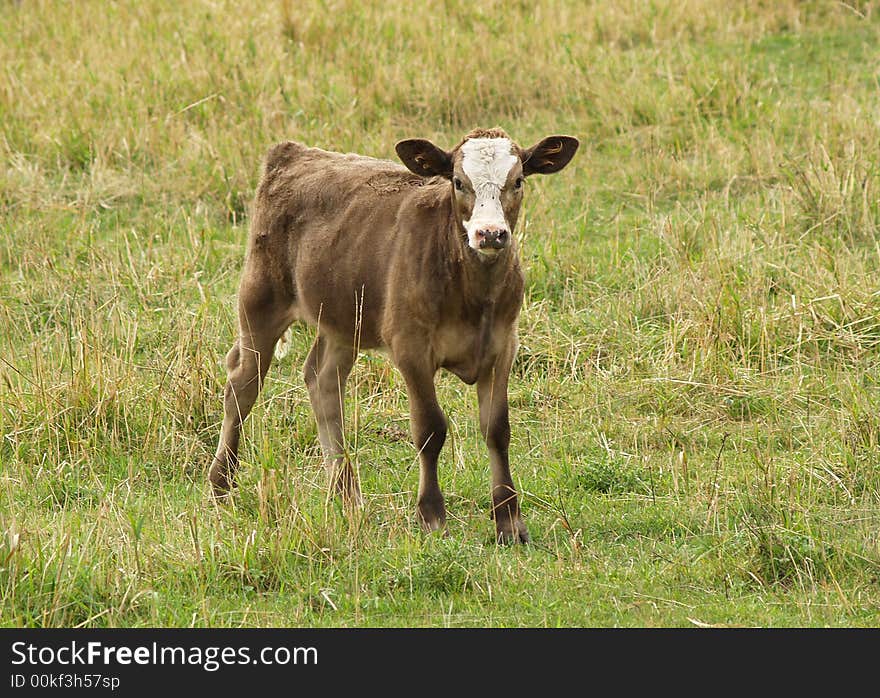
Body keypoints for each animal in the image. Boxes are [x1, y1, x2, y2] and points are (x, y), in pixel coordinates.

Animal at [210, 128, 580, 540]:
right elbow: (431, 428)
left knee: (322, 381)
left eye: (517, 181)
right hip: (260, 299)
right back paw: (222, 484)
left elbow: (497, 430)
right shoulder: (410, 346)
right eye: (458, 182)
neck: (473, 293)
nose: (490, 234)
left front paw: (510, 522)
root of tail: (294, 152)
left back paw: (347, 495)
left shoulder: (503, 346)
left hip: (342, 318)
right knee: (242, 384)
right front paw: (431, 515)